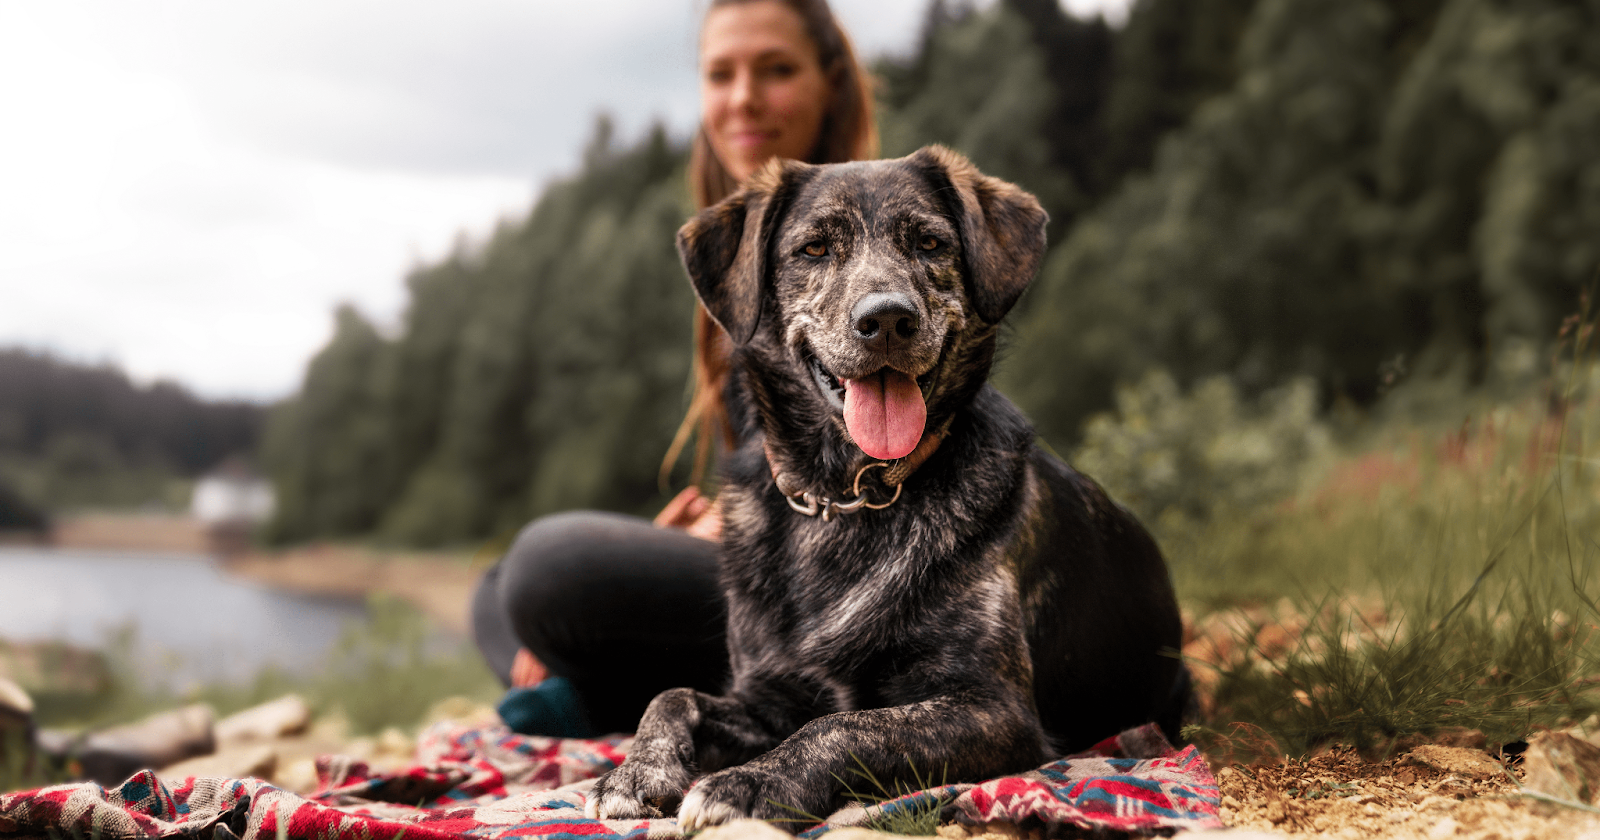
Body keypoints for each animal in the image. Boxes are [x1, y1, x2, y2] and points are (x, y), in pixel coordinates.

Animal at [588, 147, 1190, 825]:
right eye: (814, 248)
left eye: (930, 242)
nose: (887, 319)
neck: (843, 497)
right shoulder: (769, 696)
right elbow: (671, 695)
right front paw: (636, 772)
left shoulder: (996, 710)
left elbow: (847, 725)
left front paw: (750, 783)